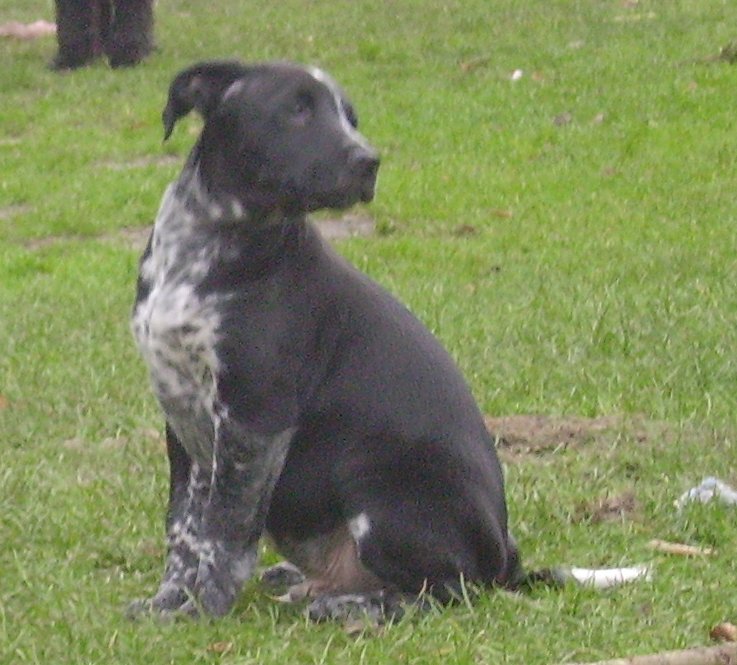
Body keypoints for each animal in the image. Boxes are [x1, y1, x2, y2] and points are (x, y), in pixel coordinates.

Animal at [129, 60, 529, 621]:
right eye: (297, 109)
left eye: (350, 118)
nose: (369, 162)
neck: (209, 246)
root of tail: (507, 560)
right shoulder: (181, 415)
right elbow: (184, 529)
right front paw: (169, 600)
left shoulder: (256, 418)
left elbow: (226, 531)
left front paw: (206, 608)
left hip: (379, 486)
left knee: (449, 590)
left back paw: (354, 607)